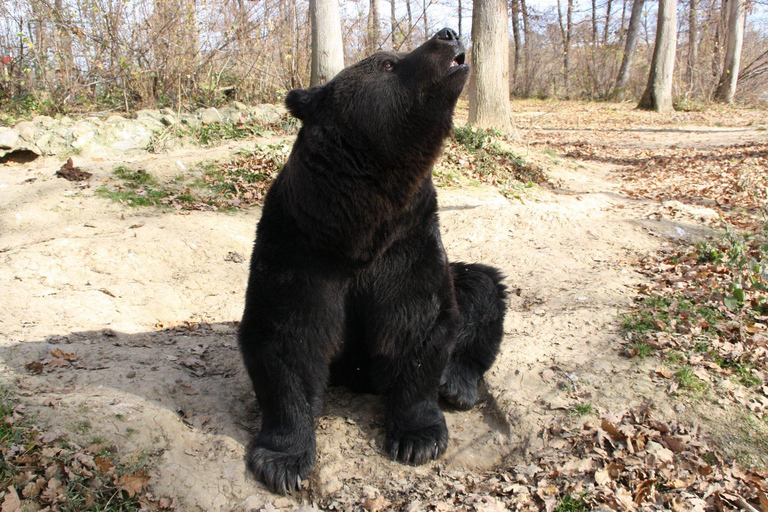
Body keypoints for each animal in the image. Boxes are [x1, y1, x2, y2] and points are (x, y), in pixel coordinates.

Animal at [237, 28, 508, 496]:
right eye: (387, 62)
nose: (448, 34)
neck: (360, 227)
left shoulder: (408, 241)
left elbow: (418, 321)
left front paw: (417, 438)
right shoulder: (298, 243)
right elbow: (286, 335)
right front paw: (281, 461)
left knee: (482, 287)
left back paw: (456, 383)